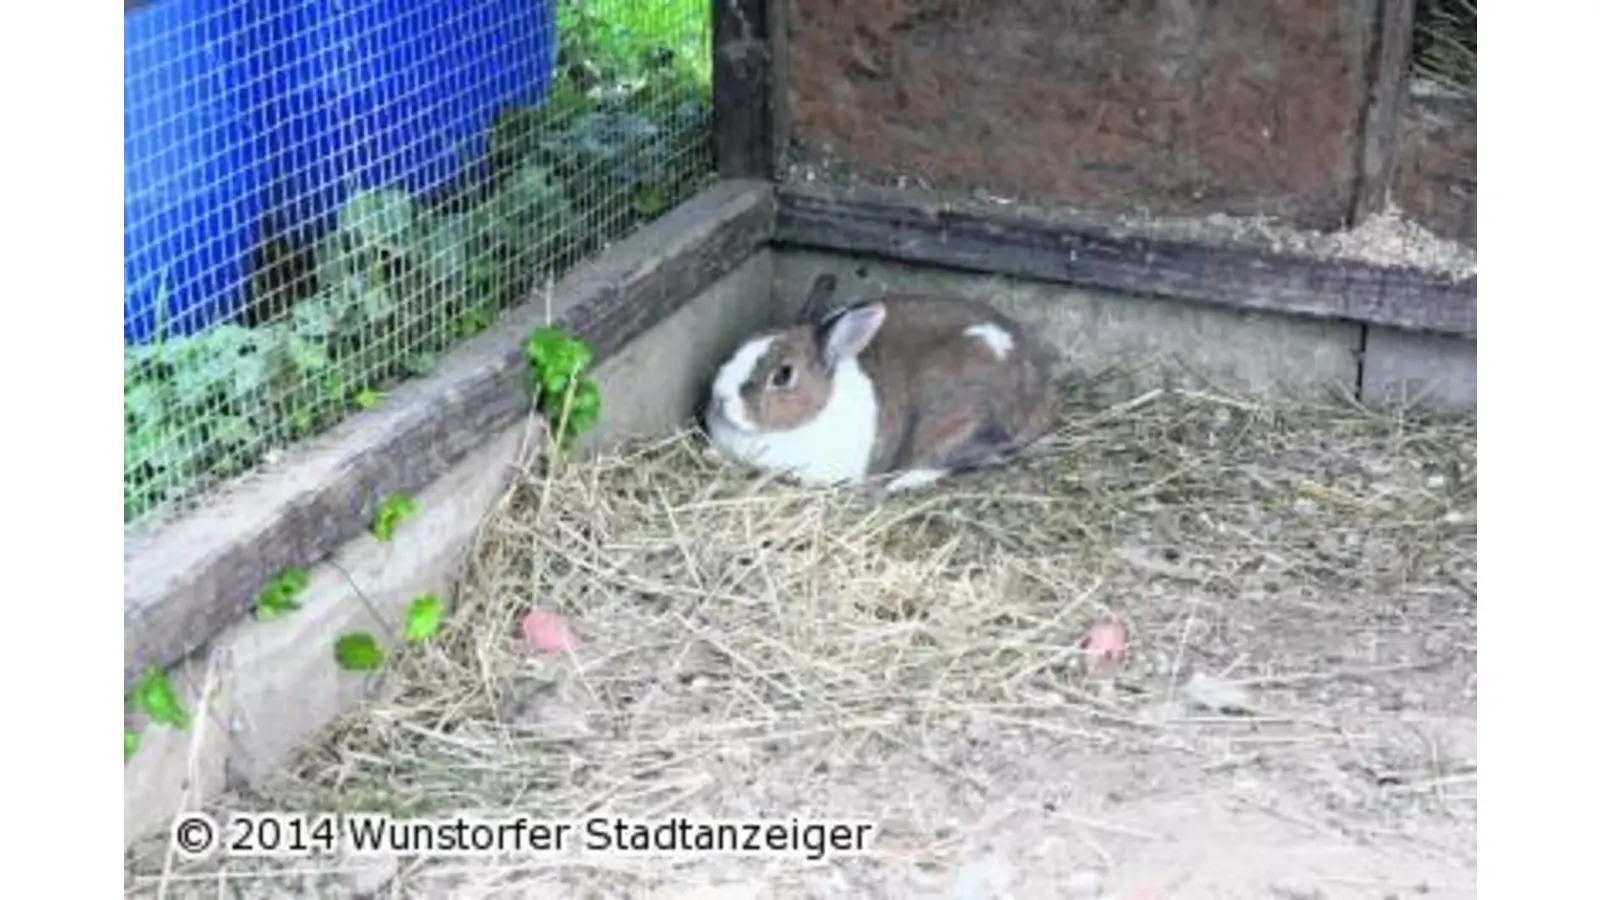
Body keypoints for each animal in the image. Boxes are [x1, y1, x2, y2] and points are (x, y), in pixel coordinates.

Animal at [704, 273, 1056, 490]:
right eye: (747, 341)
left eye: (783, 375)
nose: (720, 396)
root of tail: (1039, 395)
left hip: (953, 425)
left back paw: (901, 482)